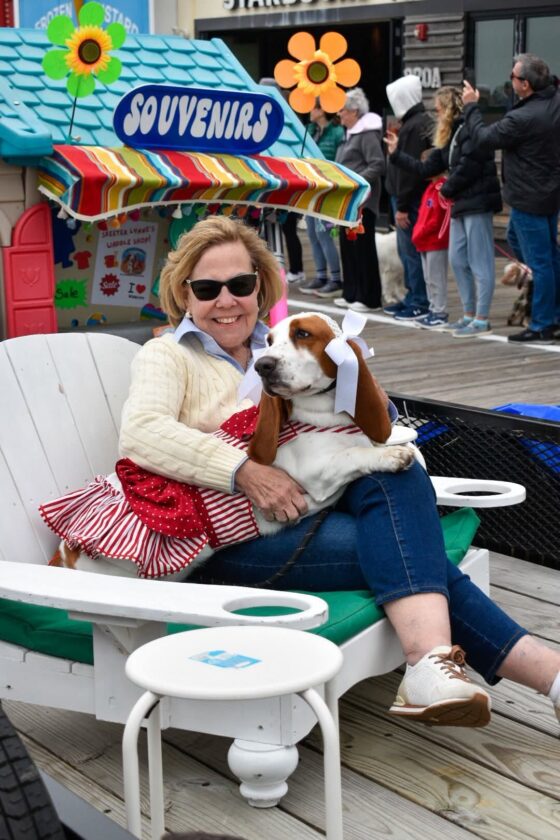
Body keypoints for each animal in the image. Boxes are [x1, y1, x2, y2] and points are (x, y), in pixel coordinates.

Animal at [50, 313, 414, 577]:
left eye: (303, 334)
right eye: (269, 341)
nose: (263, 366)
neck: (323, 414)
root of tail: (64, 554)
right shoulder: (317, 471)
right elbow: (356, 454)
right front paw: (393, 455)